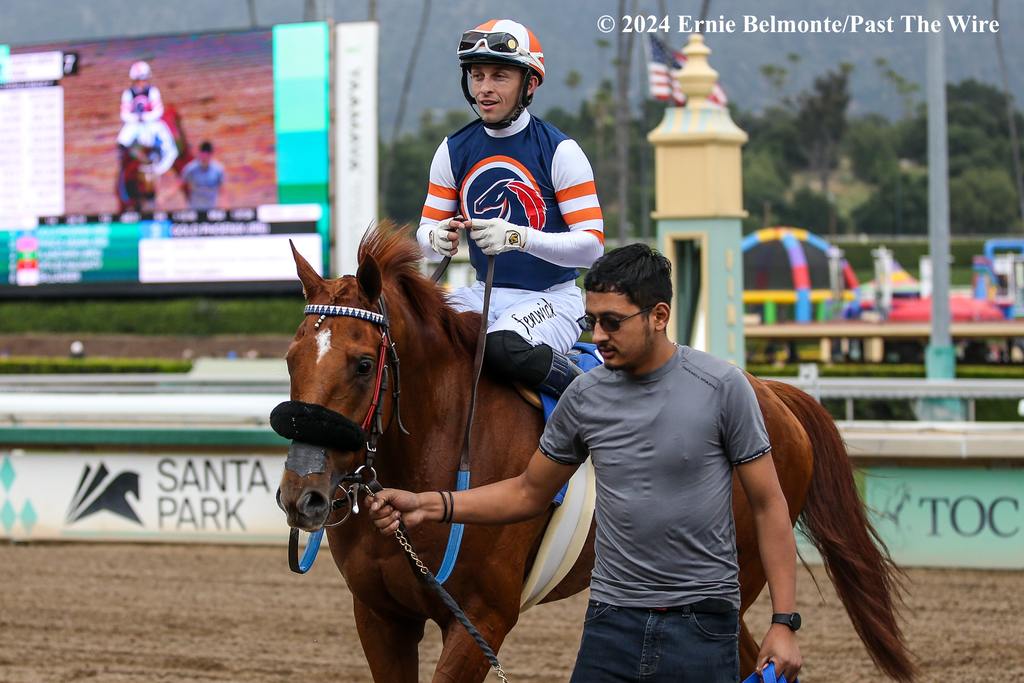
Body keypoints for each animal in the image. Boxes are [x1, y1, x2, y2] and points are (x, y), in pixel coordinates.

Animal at [276, 227, 917, 679]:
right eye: (290, 358)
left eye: (363, 364)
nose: (301, 495)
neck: (437, 447)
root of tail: (770, 392)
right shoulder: (380, 617)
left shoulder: (479, 618)